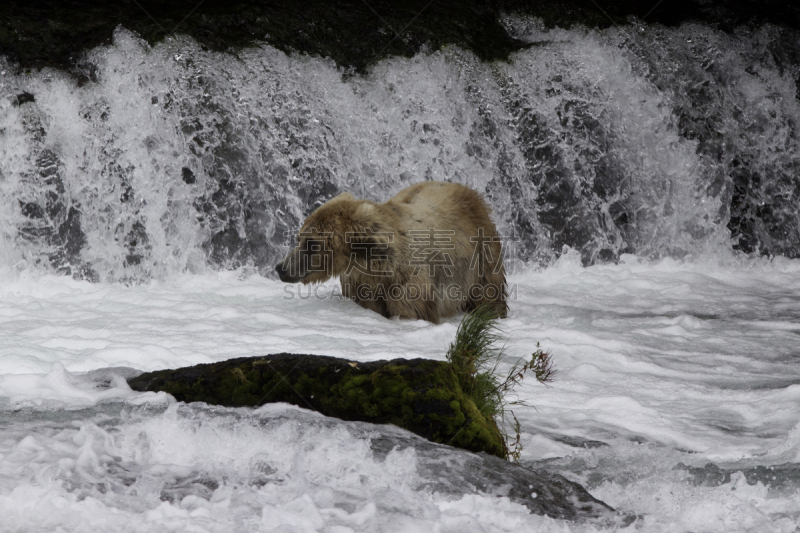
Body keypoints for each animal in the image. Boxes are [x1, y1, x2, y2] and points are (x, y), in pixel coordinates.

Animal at [276, 183, 506, 322]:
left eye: (311, 243)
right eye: (299, 237)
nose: (281, 268)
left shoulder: (409, 282)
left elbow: (412, 310)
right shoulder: (361, 282)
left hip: (480, 256)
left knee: (488, 292)